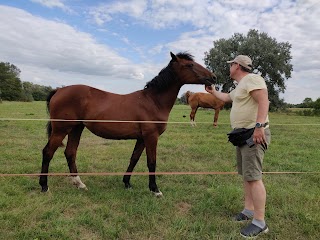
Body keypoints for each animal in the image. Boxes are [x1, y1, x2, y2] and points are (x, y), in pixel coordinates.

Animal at [38, 51, 216, 196]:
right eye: (190, 65)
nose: (213, 77)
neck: (153, 101)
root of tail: (59, 90)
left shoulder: (142, 138)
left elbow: (134, 159)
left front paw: (127, 183)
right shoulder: (151, 137)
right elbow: (151, 162)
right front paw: (155, 190)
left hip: (76, 128)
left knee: (70, 152)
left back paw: (79, 184)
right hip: (61, 129)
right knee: (48, 152)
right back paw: (44, 186)